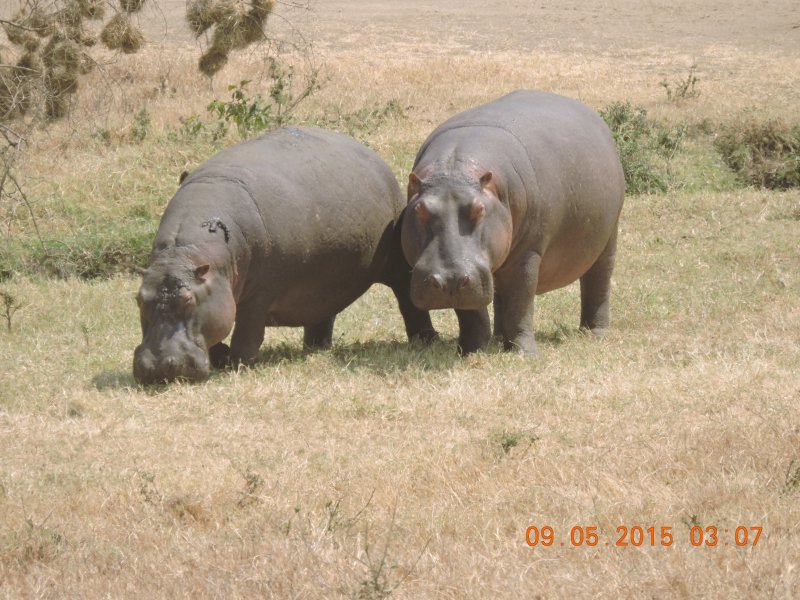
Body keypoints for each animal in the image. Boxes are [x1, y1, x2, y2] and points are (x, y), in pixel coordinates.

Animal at [133, 126, 435, 384]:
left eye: (188, 300)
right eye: (138, 299)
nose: (158, 367)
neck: (185, 253)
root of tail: (371, 155)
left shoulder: (259, 292)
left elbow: (248, 329)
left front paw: (238, 363)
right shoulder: (216, 291)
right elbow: (216, 327)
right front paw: (220, 357)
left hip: (394, 263)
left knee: (407, 299)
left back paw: (425, 341)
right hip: (324, 282)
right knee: (323, 312)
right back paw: (314, 347)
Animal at [401, 90, 625, 355]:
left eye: (479, 210)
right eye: (419, 210)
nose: (448, 281)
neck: (453, 170)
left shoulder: (527, 254)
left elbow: (521, 302)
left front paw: (524, 354)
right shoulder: (477, 273)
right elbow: (472, 312)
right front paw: (472, 351)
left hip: (607, 239)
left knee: (598, 281)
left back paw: (594, 333)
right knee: (499, 295)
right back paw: (499, 340)